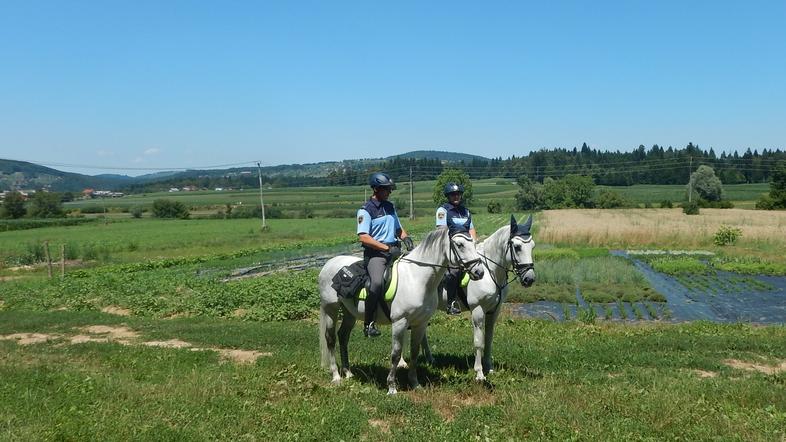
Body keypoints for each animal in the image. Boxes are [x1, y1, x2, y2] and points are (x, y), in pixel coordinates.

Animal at [318, 224, 484, 394]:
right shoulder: (400, 322)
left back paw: (348, 373)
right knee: (330, 339)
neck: (416, 278)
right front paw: (391, 387)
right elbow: (396, 354)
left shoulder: (420, 323)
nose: (479, 272)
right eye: (460, 245)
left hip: (349, 313)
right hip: (331, 309)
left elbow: (415, 352)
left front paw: (415, 383)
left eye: (473, 242)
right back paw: (336, 376)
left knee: (343, 336)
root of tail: (329, 263)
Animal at [426, 214, 536, 380]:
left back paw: (430, 359)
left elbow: (489, 339)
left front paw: (489, 368)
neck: (491, 272)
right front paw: (479, 373)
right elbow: (479, 341)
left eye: (533, 246)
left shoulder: (494, 311)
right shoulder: (478, 310)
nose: (529, 279)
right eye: (517, 247)